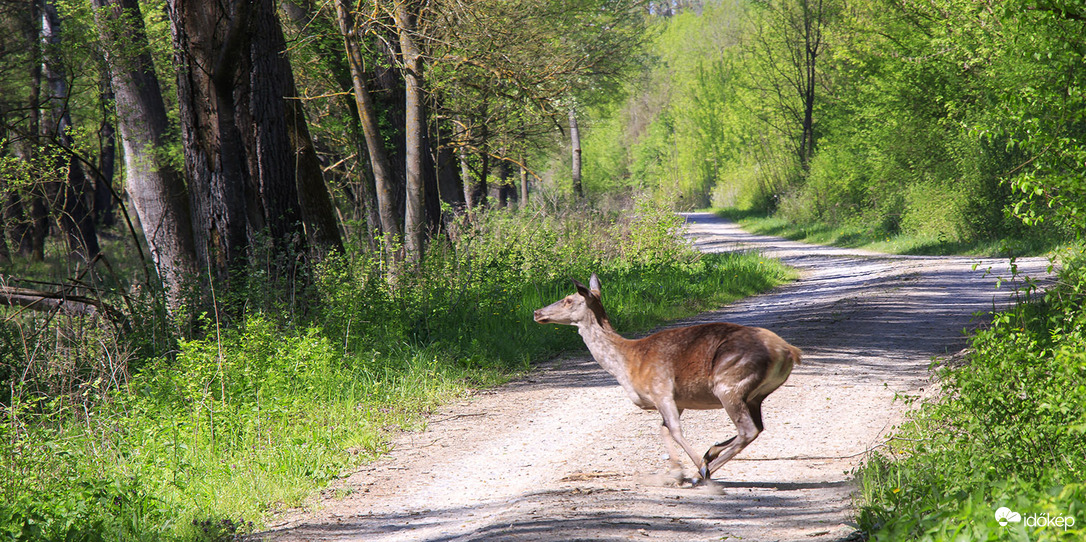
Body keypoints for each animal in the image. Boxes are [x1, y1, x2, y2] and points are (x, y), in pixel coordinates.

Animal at [532, 275, 799, 484]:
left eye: (568, 299)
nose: (537, 312)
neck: (627, 364)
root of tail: (787, 350)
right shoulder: (674, 400)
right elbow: (663, 430)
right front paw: (678, 473)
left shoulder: (662, 389)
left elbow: (675, 431)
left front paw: (698, 470)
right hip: (756, 394)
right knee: (758, 426)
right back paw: (709, 454)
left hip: (730, 382)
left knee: (748, 429)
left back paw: (704, 470)